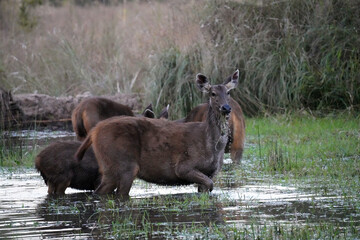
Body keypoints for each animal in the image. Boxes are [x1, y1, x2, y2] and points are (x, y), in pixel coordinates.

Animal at [75, 69, 239, 199]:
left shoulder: (211, 172)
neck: (211, 144)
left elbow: (207, 188)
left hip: (110, 166)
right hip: (123, 163)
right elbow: (209, 184)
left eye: (228, 92)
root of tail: (94, 131)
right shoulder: (183, 166)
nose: (226, 107)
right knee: (117, 193)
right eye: (213, 93)